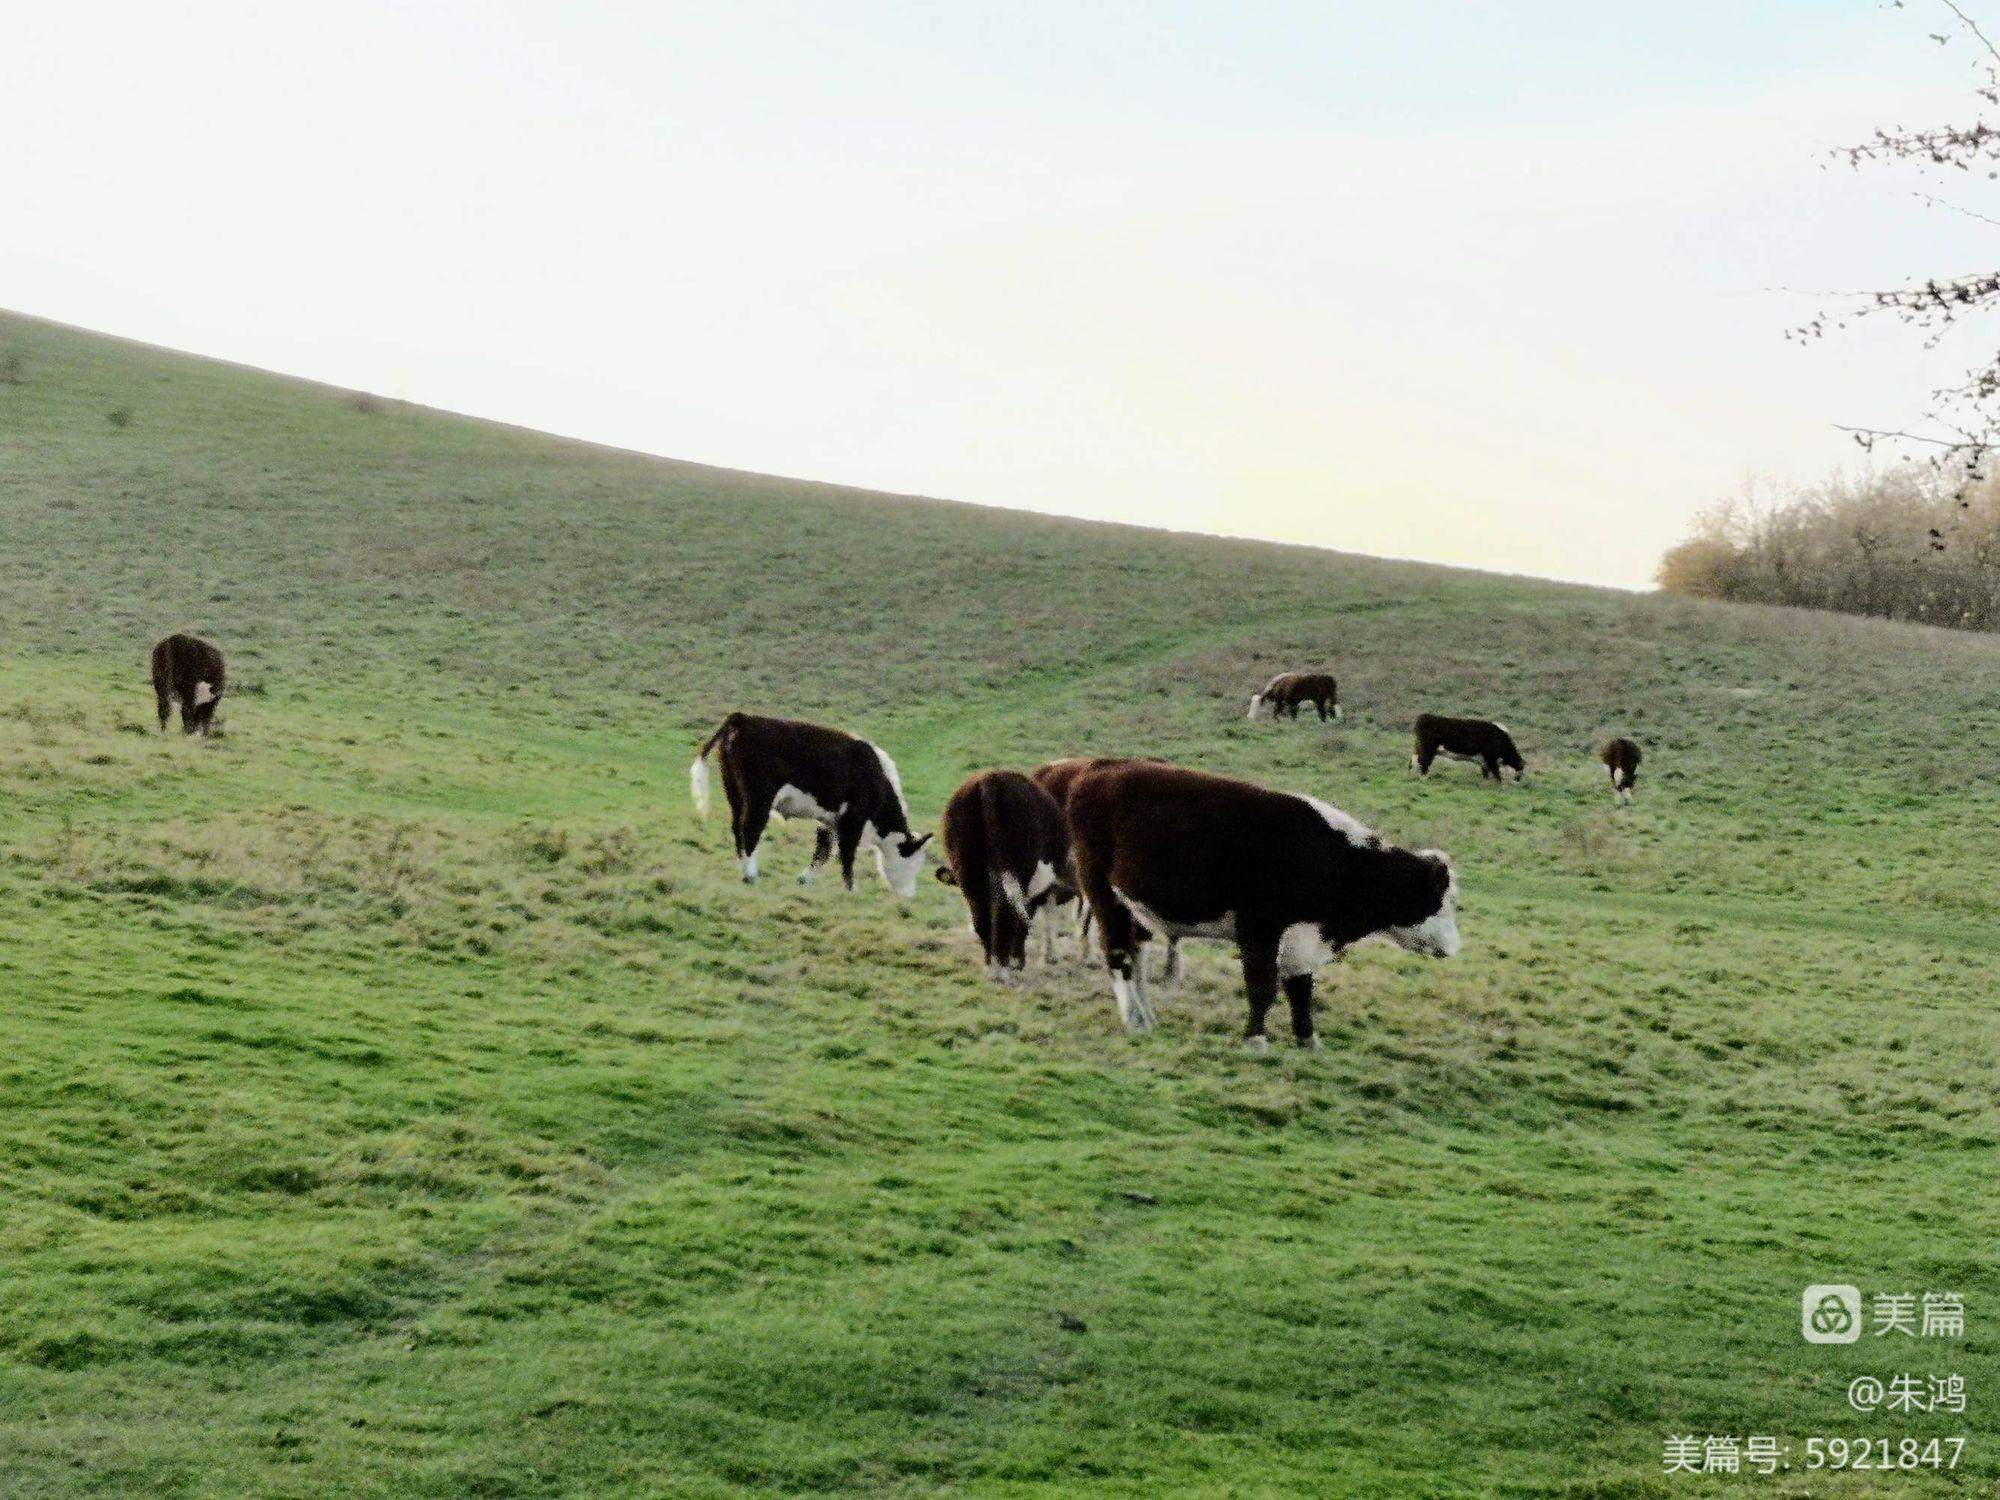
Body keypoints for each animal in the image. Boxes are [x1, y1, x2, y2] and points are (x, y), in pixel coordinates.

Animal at [696, 712, 928, 900]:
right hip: (759, 798)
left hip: (734, 793)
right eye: (914, 864)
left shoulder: (831, 820)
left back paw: (745, 873)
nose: (910, 896)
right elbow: (846, 853)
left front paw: (804, 879)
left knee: (737, 829)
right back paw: (751, 876)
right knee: (751, 830)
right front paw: (851, 889)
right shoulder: (854, 818)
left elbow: (823, 851)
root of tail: (744, 718)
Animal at [940, 776, 1080, 988]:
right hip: (1016, 873)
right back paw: (1003, 970)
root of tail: (989, 780)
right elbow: (1025, 920)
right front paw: (1018, 960)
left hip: (970, 873)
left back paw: (992, 967)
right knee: (1006, 915)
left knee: (982, 916)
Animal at [1072, 764, 1464, 1048]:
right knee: (1118, 955)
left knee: (1137, 956)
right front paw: (1256, 1040)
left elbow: (1301, 989)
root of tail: (1098, 772)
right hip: (1105, 897)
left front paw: (1308, 1040)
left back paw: (1148, 1017)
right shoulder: (1259, 931)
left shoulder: (1303, 936)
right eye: (1441, 901)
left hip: (1137, 911)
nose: (1455, 947)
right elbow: (1262, 988)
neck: (1331, 858)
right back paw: (1134, 1021)